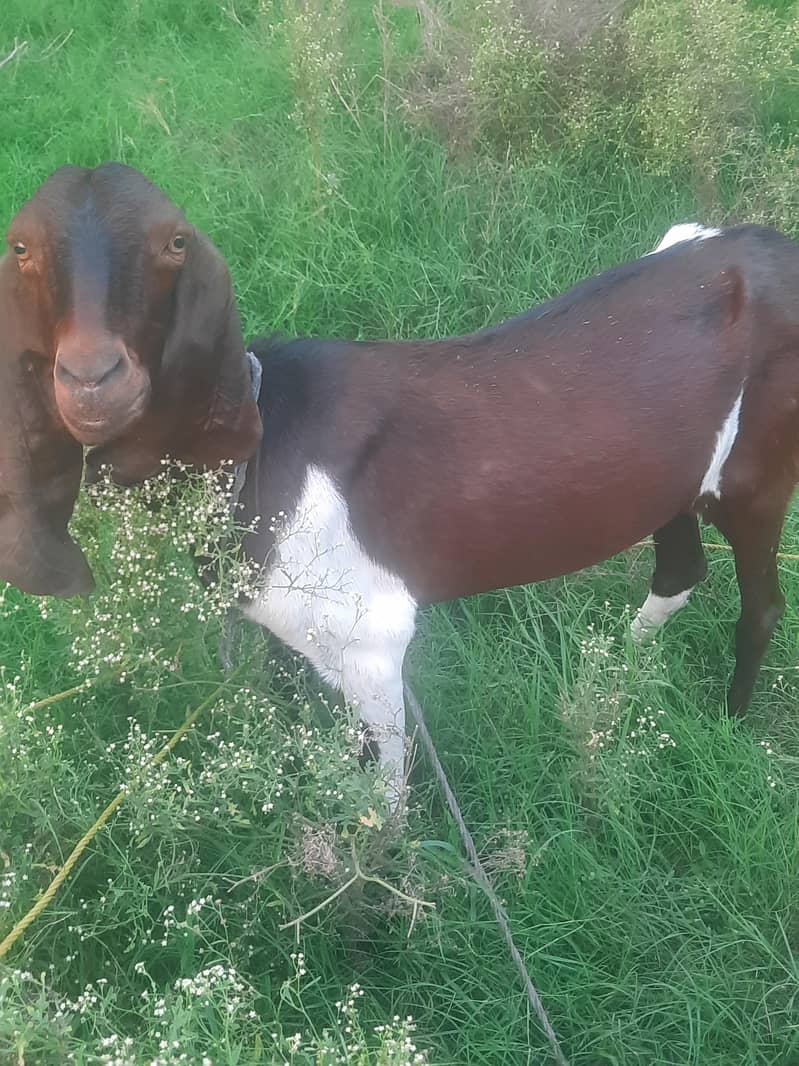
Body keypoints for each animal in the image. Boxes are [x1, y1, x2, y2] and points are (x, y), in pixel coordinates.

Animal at [236, 222, 799, 804]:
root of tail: (769, 243)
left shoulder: (370, 638)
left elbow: (385, 791)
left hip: (756, 477)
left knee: (761, 606)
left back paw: (728, 723)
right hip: (668, 480)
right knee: (680, 570)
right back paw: (613, 669)